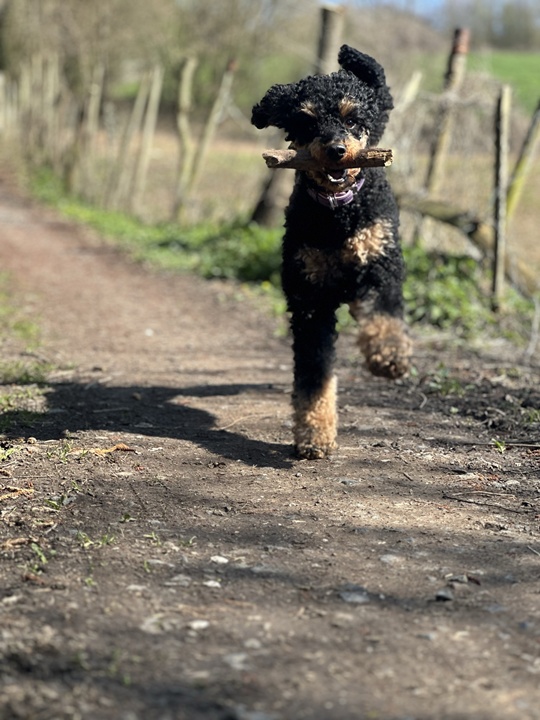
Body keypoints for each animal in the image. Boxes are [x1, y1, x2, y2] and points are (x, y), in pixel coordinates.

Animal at [251, 45, 412, 459]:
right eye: (306, 122)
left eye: (352, 119)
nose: (337, 150)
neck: (337, 213)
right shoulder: (310, 301)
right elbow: (314, 374)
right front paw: (313, 434)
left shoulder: (381, 265)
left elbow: (385, 317)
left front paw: (389, 356)